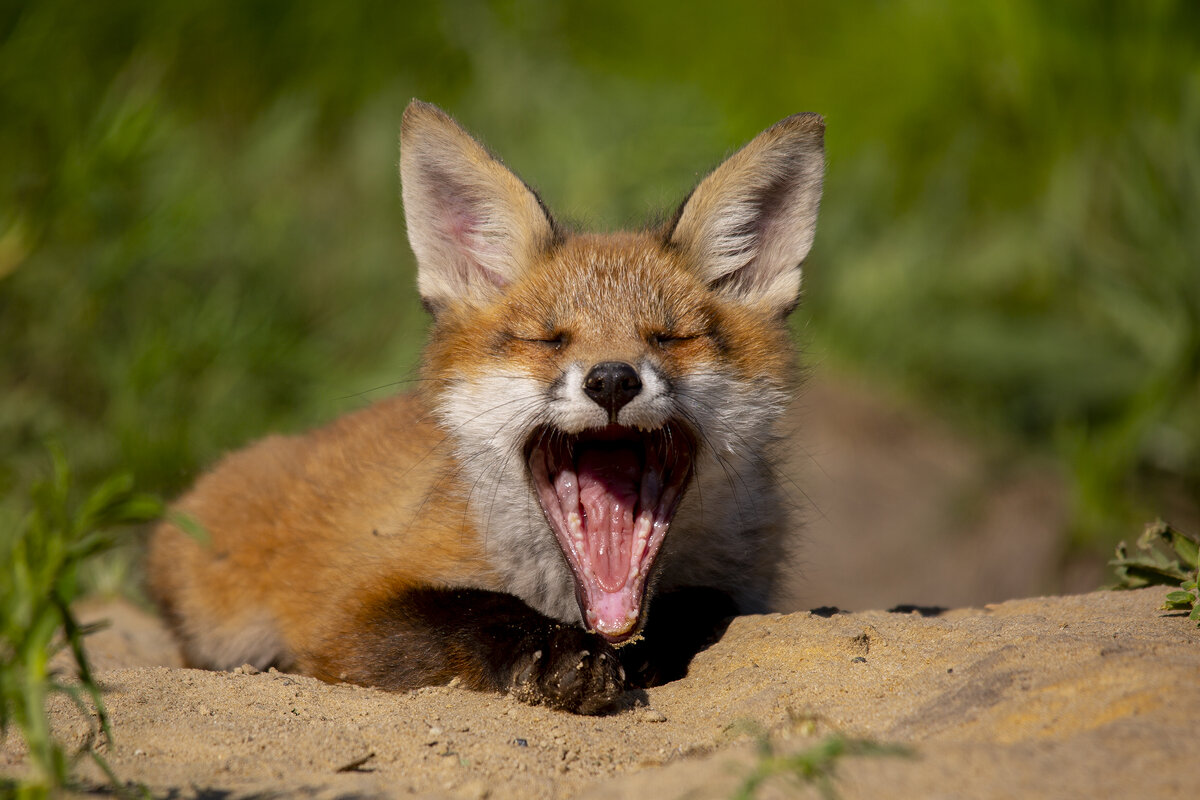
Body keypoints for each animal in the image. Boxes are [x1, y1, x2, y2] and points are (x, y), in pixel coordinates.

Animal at [147, 98, 825, 714]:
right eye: (548, 339)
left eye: (671, 337)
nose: (611, 380)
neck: (566, 599)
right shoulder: (349, 608)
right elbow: (470, 609)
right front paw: (556, 656)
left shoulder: (746, 581)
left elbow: (707, 603)